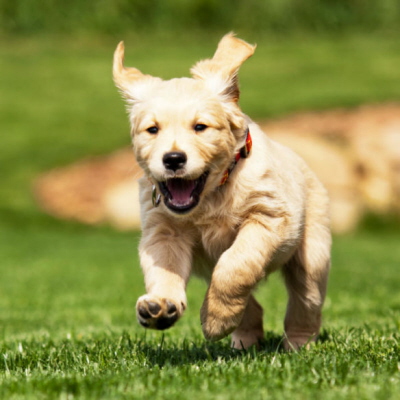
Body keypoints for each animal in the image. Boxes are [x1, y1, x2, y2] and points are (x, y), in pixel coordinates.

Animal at [112, 32, 332, 348]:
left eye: (200, 127)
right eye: (152, 129)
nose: (173, 159)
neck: (212, 195)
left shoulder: (269, 217)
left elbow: (235, 265)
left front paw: (216, 320)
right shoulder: (163, 232)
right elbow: (165, 270)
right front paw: (161, 305)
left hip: (312, 253)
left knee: (306, 301)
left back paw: (297, 345)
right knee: (253, 305)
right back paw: (244, 340)